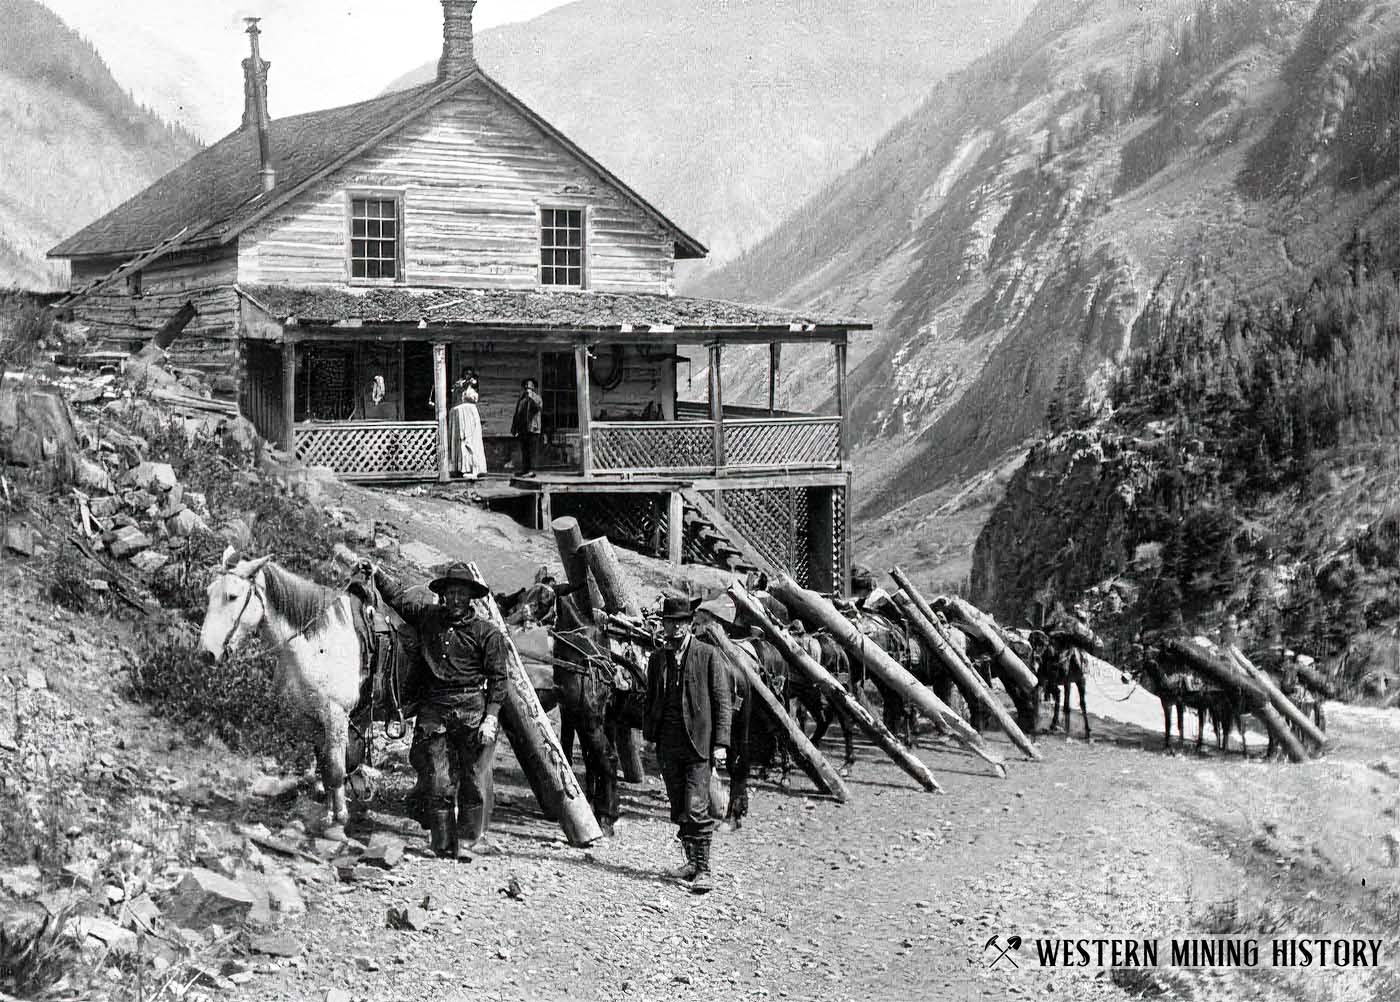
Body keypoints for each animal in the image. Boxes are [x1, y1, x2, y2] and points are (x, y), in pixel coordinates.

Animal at [203, 542, 369, 834]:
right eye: (209, 592)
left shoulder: (336, 715)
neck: (315, 643)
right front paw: (327, 815)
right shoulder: (309, 718)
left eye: (233, 596)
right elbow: (325, 767)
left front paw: (339, 820)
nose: (207, 653)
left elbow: (336, 770)